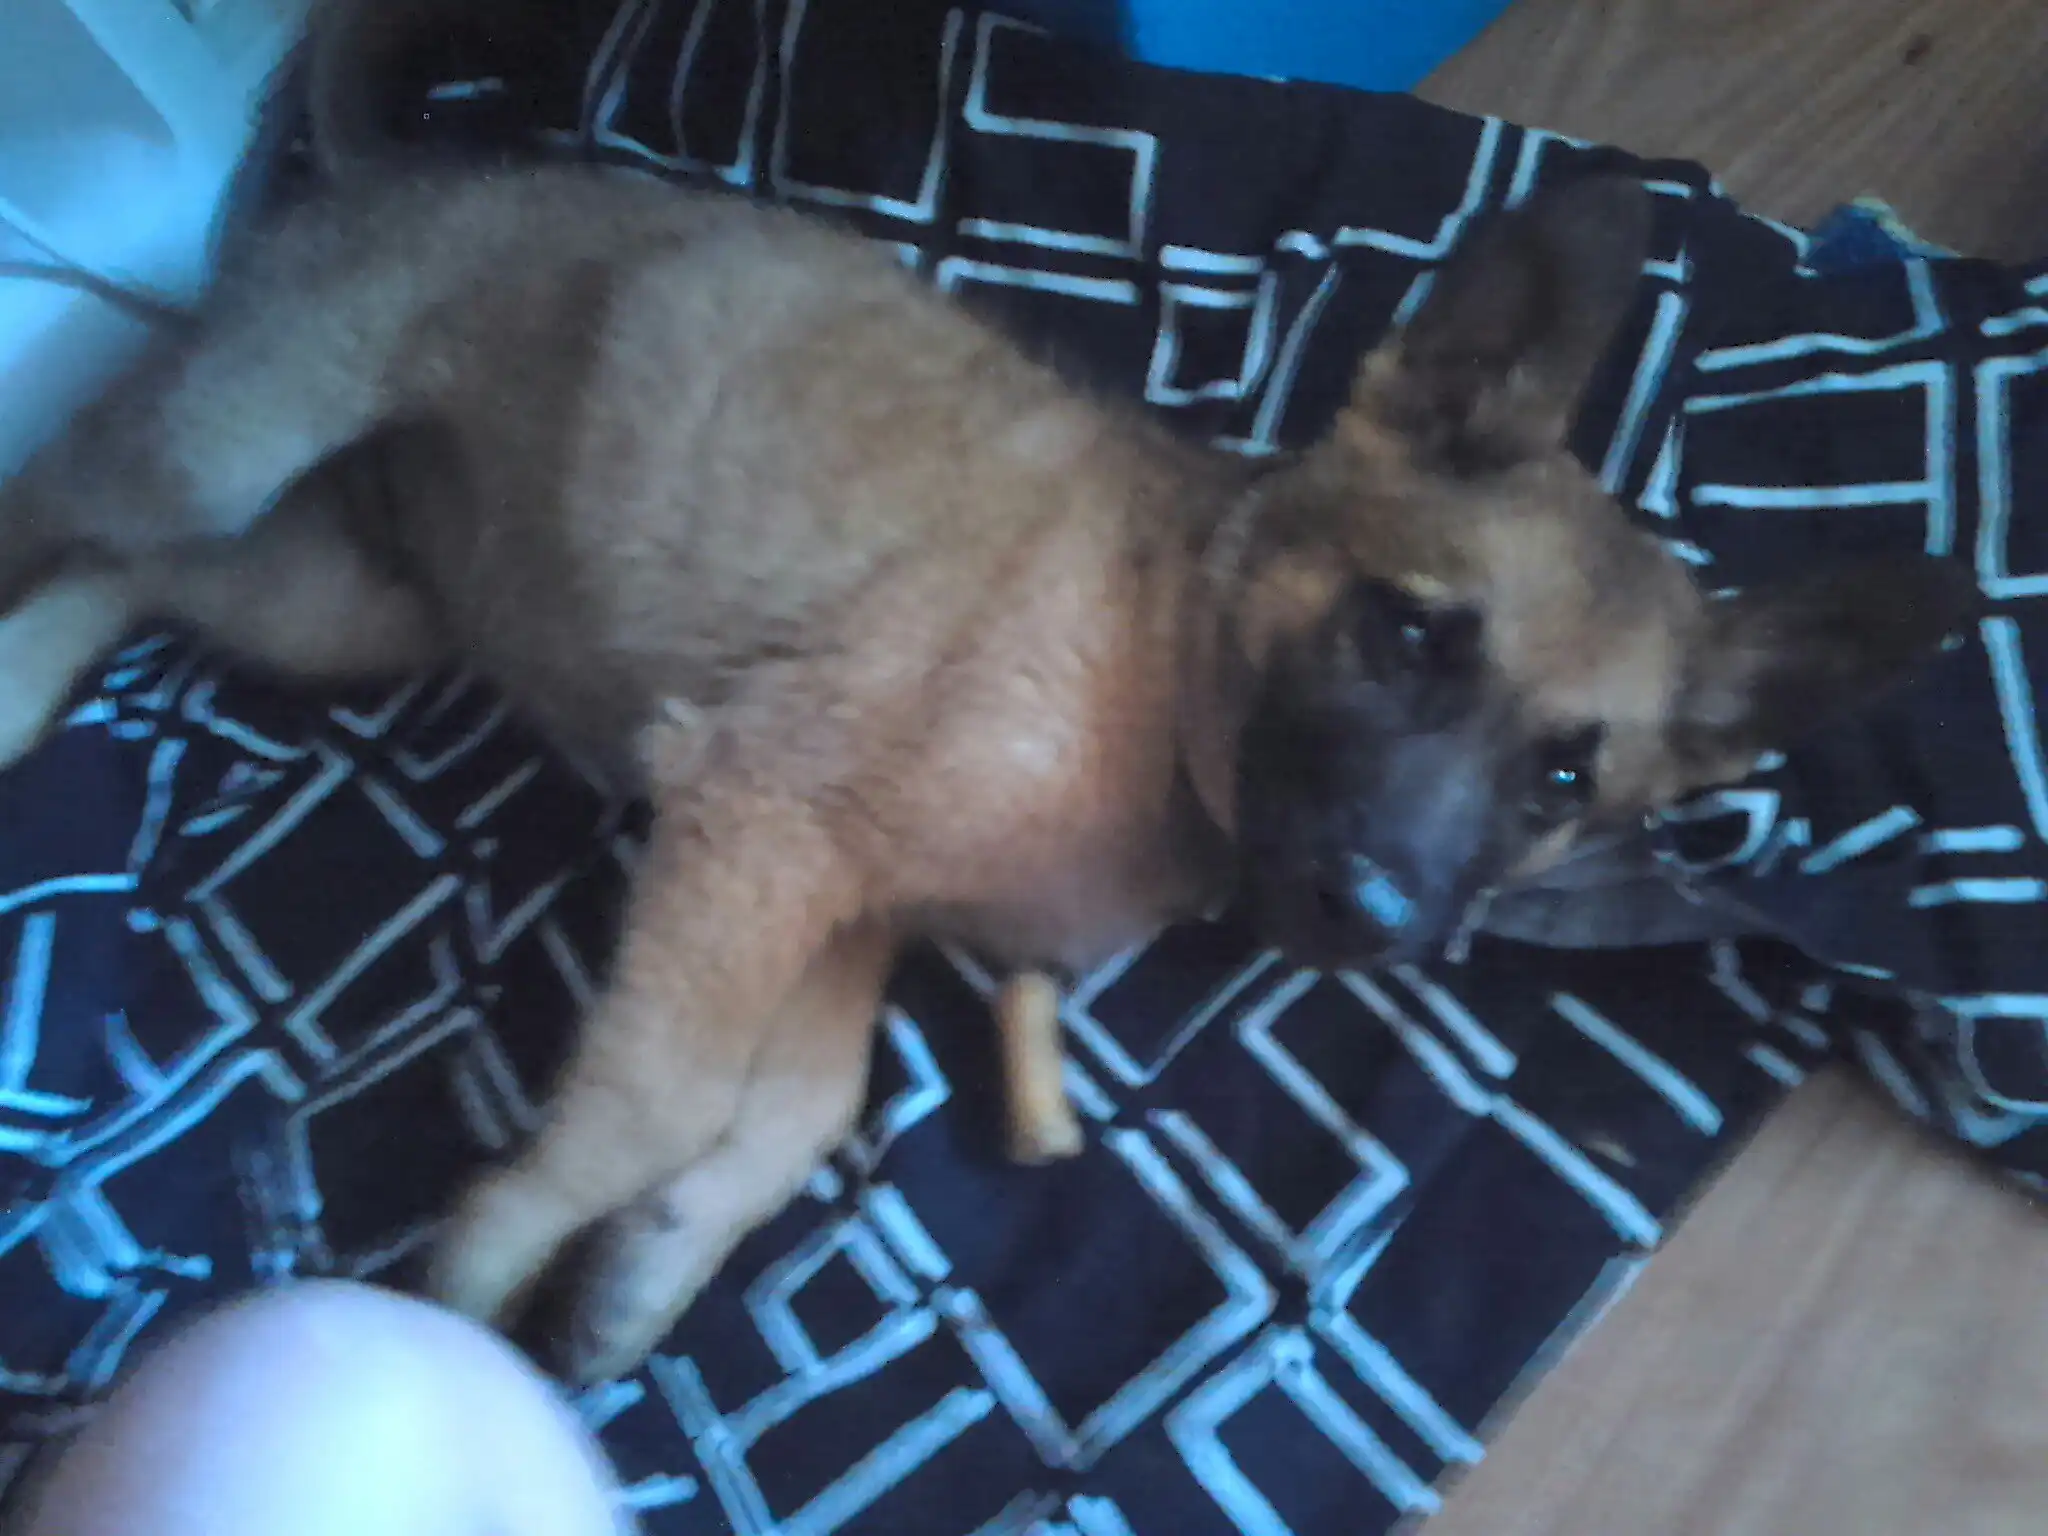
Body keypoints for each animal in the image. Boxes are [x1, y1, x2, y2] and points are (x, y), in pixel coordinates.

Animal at [0, 153, 1974, 1381]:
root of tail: (400, 166)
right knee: (66, 505)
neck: (1165, 668)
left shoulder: (834, 904)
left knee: (127, 578)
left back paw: (28, 680)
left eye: (1567, 784)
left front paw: (647, 1263)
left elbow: (790, 1107)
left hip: (349, 606)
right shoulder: (763, 818)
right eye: (1415, 634)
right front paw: (484, 1276)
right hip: (227, 450)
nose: (1374, 916)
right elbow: (656, 1094)